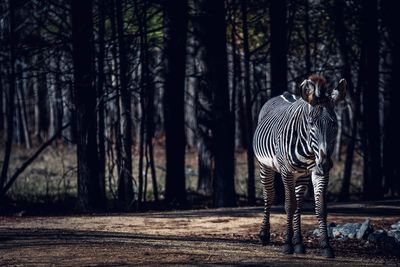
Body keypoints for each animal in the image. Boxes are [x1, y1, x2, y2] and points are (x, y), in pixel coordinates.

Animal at [255, 74, 346, 258]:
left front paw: (326, 246)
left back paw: (298, 243)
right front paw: (287, 244)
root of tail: (284, 94)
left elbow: (320, 207)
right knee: (269, 195)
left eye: (334, 124)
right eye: (311, 123)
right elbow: (289, 206)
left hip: (301, 175)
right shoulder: (286, 171)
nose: (325, 163)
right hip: (265, 166)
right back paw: (264, 235)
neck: (310, 151)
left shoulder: (318, 172)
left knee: (298, 202)